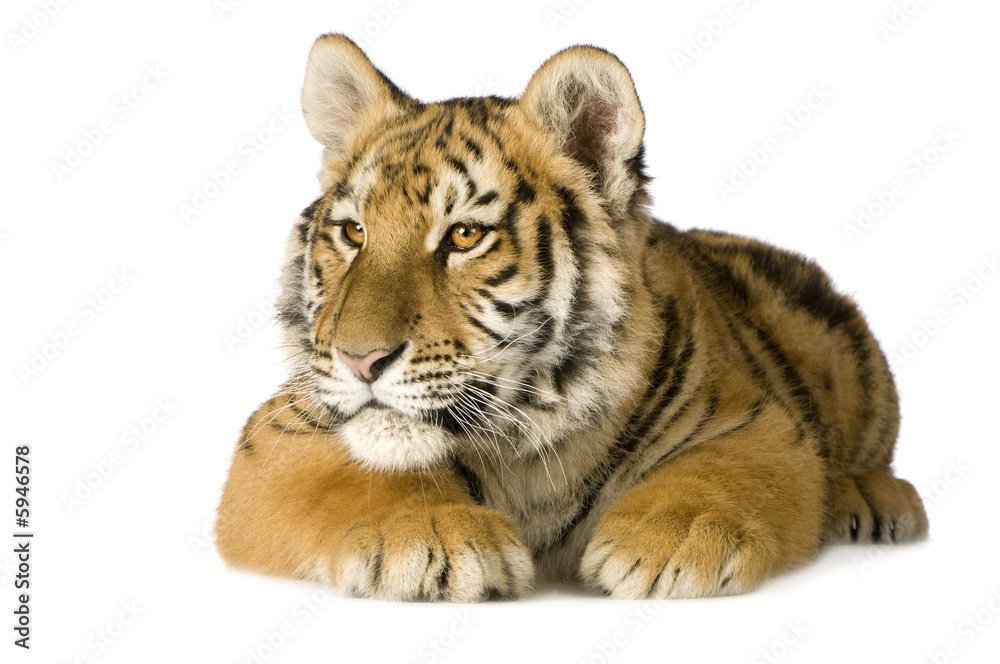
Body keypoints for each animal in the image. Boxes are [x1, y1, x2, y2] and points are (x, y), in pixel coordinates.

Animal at [214, 34, 929, 601]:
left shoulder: (763, 422)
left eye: (465, 235)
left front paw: (669, 541)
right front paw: (437, 539)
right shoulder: (280, 432)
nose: (358, 359)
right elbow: (353, 478)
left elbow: (722, 475)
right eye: (354, 232)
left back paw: (877, 501)